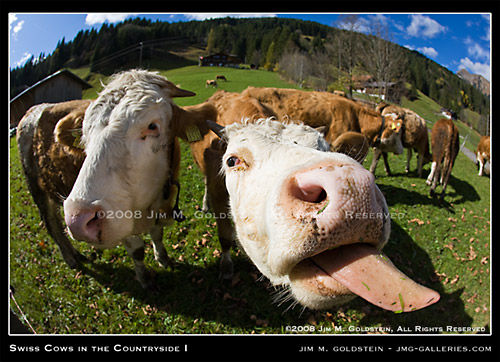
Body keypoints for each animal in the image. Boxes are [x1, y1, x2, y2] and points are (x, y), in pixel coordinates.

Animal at [15, 70, 215, 292]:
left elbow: (157, 234)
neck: (151, 205)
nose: (78, 220)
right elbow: (137, 250)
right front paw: (145, 279)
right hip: (37, 189)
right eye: (85, 134)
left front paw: (163, 258)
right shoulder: (121, 216)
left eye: (152, 126)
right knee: (52, 225)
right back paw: (71, 258)